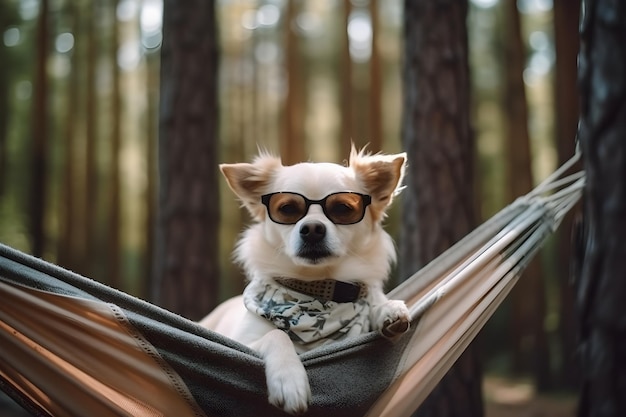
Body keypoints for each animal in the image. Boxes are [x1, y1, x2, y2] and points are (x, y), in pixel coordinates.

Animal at [200, 146, 412, 412]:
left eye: (343, 209)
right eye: (287, 209)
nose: (312, 229)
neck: (317, 289)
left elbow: (374, 306)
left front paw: (387, 310)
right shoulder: (239, 343)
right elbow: (277, 335)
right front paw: (289, 380)